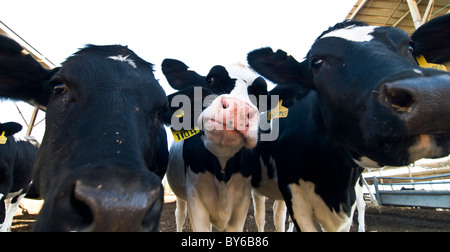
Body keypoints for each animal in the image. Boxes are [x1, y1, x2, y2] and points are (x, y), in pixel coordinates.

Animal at [162, 58, 268, 230]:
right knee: (180, 215)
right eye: (210, 79)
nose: (237, 110)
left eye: (260, 93)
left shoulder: (242, 205)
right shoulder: (195, 201)